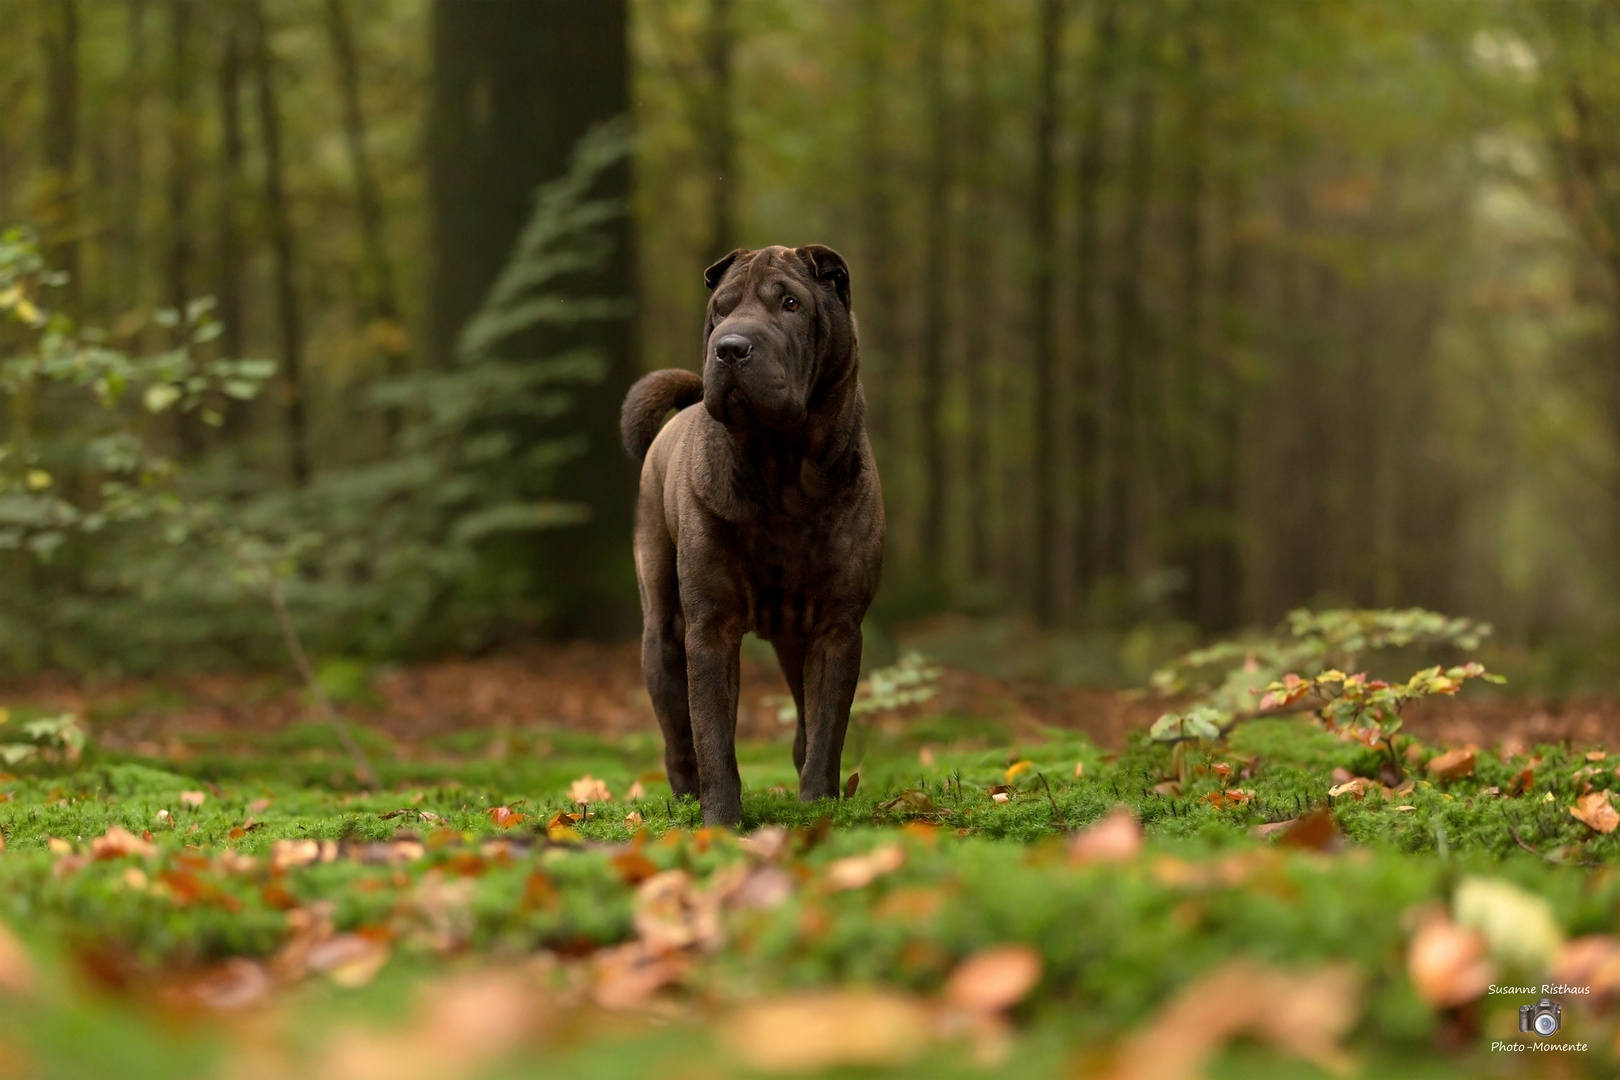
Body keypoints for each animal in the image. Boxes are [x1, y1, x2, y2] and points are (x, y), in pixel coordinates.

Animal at [615, 247, 881, 829]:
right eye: (721, 307)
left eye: (791, 303)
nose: (730, 347)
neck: (781, 468)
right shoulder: (710, 626)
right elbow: (713, 732)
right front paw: (721, 820)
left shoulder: (837, 627)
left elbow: (827, 725)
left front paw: (817, 804)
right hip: (661, 631)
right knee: (678, 730)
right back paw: (685, 794)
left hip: (793, 640)